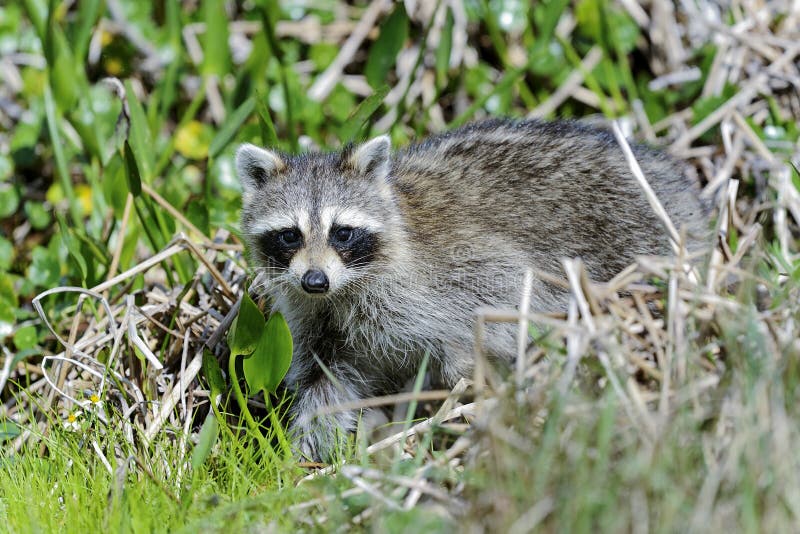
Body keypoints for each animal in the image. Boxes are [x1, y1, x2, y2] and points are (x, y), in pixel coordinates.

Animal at [234, 119, 708, 462]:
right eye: (290, 235)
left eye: (342, 232)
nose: (314, 280)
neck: (343, 290)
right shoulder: (314, 319)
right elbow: (324, 383)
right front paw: (306, 453)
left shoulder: (454, 271)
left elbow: (506, 297)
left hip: (635, 234)